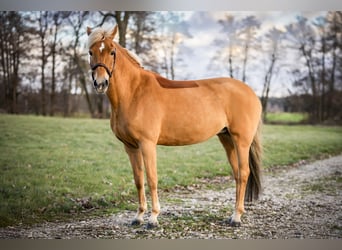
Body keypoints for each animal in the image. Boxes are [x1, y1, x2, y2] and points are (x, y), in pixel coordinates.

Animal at [87, 24, 262, 227]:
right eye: (90, 52)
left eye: (112, 51)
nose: (101, 83)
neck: (134, 92)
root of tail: (250, 92)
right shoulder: (130, 147)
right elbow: (138, 180)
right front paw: (138, 216)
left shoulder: (147, 144)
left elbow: (152, 179)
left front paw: (153, 218)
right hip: (226, 138)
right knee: (237, 174)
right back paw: (233, 214)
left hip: (241, 141)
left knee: (243, 173)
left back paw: (236, 217)